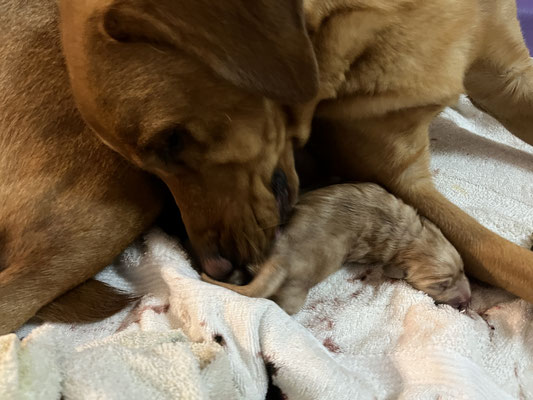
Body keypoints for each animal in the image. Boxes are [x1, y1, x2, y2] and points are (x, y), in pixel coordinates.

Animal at [202, 183, 472, 314]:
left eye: (462, 269)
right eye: (441, 285)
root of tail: (281, 260)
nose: (467, 302)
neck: (409, 236)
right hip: (294, 292)